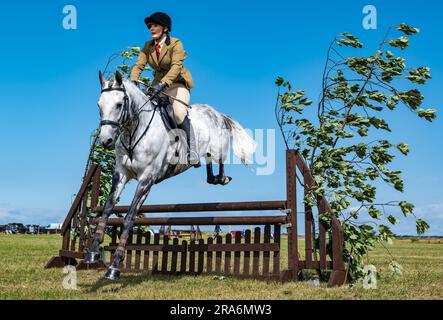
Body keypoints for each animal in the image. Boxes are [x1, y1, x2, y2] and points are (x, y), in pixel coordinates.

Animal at [84, 70, 256, 280]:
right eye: (99, 105)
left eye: (118, 104)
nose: (105, 141)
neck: (135, 131)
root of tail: (217, 113)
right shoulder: (121, 175)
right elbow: (107, 210)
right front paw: (93, 253)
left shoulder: (146, 180)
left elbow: (129, 219)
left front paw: (114, 267)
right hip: (205, 150)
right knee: (207, 164)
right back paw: (213, 178)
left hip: (217, 146)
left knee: (220, 160)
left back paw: (222, 178)